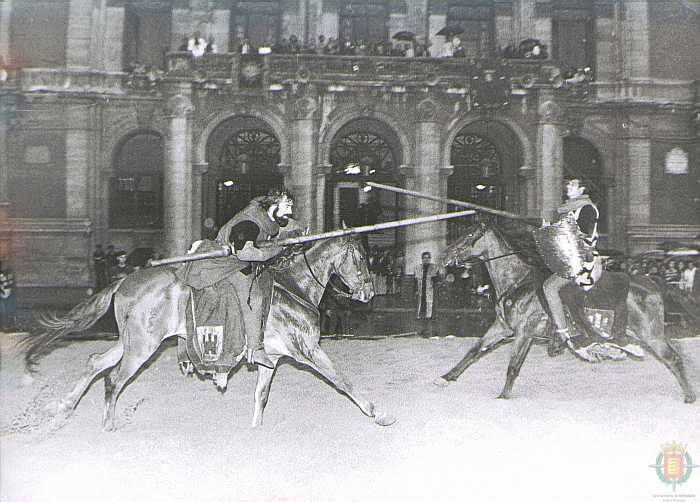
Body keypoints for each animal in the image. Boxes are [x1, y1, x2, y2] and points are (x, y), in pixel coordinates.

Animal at [23, 235, 400, 428]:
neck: (295, 287)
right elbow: (342, 381)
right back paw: (107, 425)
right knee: (113, 379)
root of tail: (125, 281)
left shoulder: (273, 360)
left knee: (94, 363)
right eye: (362, 258)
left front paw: (255, 430)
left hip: (130, 341)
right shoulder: (308, 350)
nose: (369, 292)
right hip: (141, 346)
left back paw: (63, 410)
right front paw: (378, 413)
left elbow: (261, 396)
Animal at [434, 224, 696, 404]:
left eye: (469, 236)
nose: (443, 257)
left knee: (673, 358)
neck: (518, 282)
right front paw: (446, 377)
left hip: (651, 335)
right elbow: (474, 351)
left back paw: (690, 396)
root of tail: (652, 282)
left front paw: (503, 396)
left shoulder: (524, 333)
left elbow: (513, 366)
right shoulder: (502, 327)